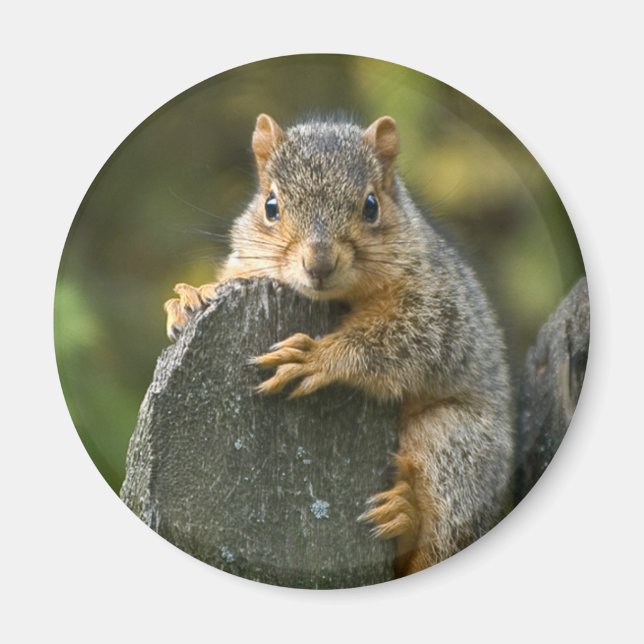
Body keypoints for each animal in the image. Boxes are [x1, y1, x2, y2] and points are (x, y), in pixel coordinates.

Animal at [164, 114, 514, 576]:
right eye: (270, 206)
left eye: (371, 206)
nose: (319, 264)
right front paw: (188, 298)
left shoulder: (439, 307)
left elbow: (405, 340)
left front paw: (317, 357)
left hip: (453, 440)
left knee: (442, 531)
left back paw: (403, 512)